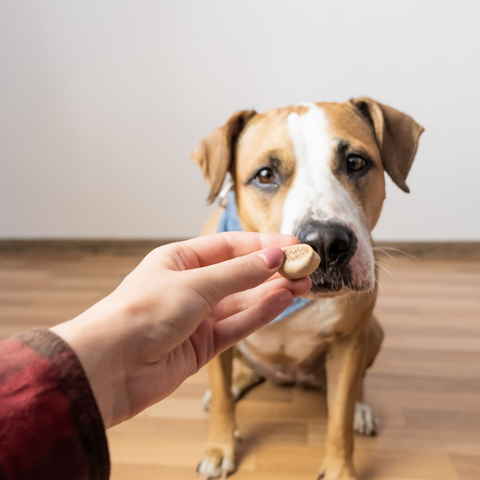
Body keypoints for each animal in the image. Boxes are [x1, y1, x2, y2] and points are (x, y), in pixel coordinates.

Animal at [191, 98, 424, 480]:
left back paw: (361, 409)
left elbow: (339, 417)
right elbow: (224, 398)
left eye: (356, 162)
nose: (326, 242)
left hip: (372, 332)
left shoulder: (348, 342)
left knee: (357, 384)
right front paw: (218, 447)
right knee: (235, 374)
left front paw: (340, 470)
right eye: (265, 175)